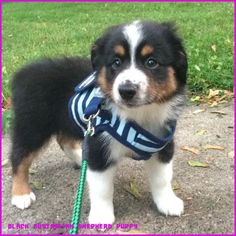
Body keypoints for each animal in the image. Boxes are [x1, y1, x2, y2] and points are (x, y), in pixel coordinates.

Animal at [10, 20, 188, 225]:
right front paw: (101, 215)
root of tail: (22, 74)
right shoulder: (98, 146)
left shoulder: (162, 143)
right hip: (33, 125)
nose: (126, 90)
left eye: (152, 62)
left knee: (64, 140)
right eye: (116, 62)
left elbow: (162, 178)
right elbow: (102, 188)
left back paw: (80, 157)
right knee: (19, 156)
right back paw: (20, 194)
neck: (137, 116)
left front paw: (167, 202)